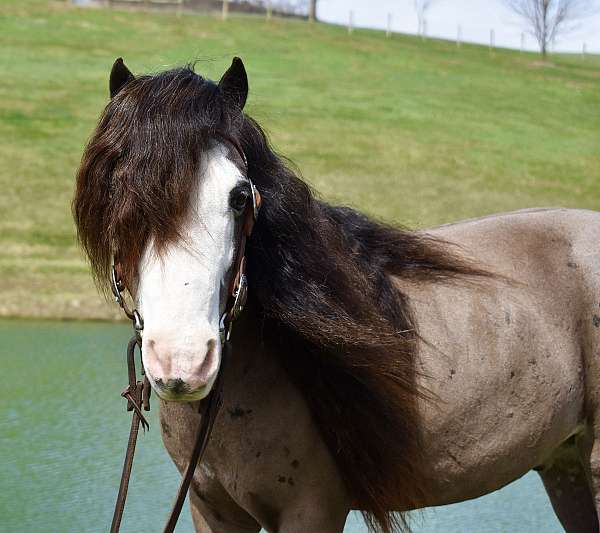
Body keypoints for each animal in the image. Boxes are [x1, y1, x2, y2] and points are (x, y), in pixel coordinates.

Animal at [74, 56, 600, 528]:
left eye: (240, 195)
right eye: (116, 192)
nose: (183, 360)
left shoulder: (312, 510)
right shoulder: (213, 511)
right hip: (565, 467)